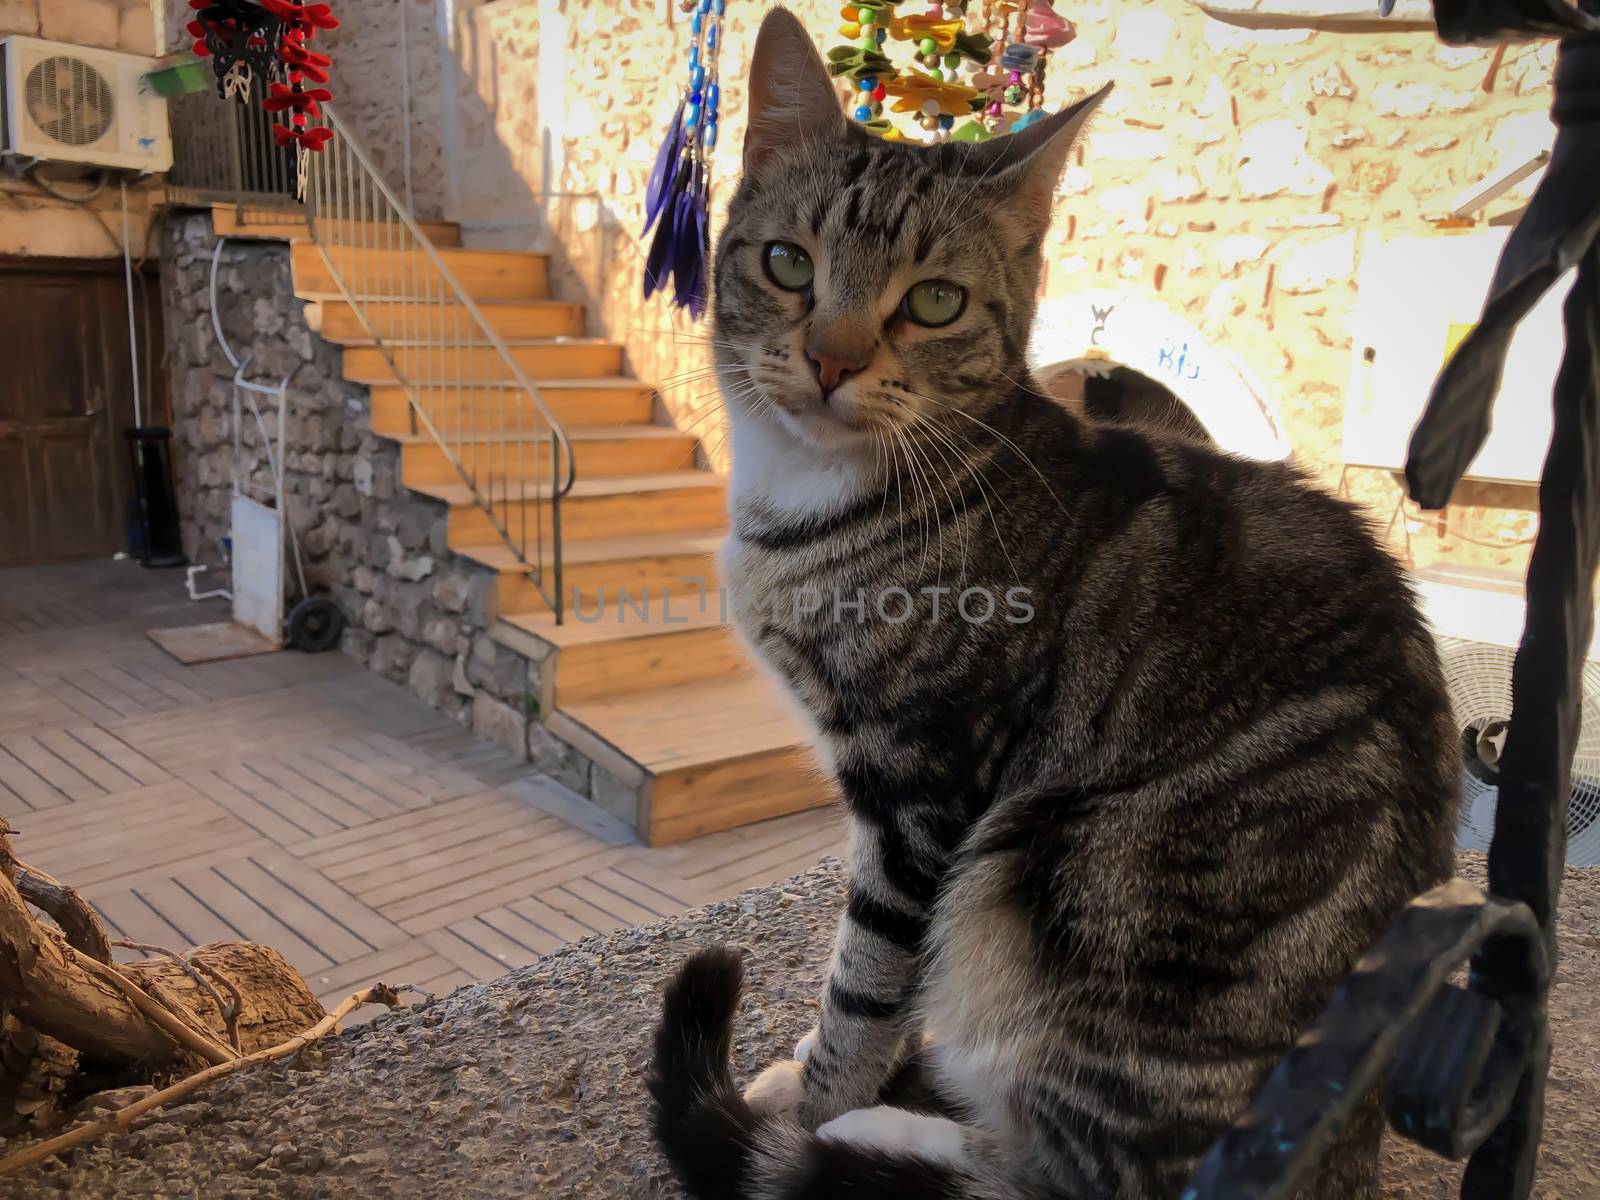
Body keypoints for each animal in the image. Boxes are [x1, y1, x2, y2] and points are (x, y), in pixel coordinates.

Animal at [643, 11, 1459, 1200]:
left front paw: (818, 1098)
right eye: (787, 264)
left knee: (1066, 1174)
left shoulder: (924, 787)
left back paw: (882, 1134)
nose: (832, 360)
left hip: (1044, 879)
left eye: (934, 301)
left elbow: (869, 970)